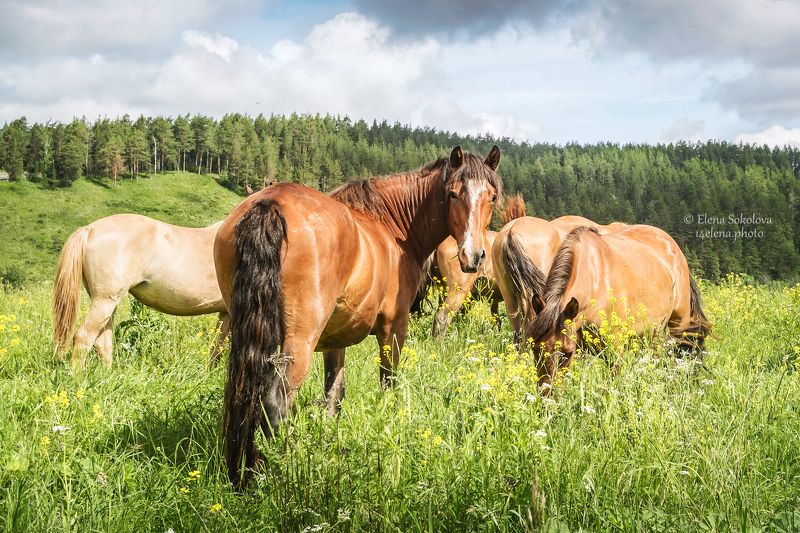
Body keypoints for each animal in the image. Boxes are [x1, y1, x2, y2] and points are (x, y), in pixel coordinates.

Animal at [53, 214, 229, 368]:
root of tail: (89, 229)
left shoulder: (226, 313)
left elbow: (217, 349)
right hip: (104, 301)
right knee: (83, 337)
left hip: (107, 304)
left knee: (102, 343)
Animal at [214, 146, 502, 487]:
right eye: (454, 194)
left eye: (492, 196)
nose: (473, 256)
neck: (392, 228)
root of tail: (269, 203)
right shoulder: (394, 329)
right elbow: (387, 383)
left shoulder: (335, 339)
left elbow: (333, 395)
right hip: (299, 343)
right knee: (275, 403)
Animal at [521, 225, 711, 390]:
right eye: (535, 349)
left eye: (567, 353)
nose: (547, 397)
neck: (595, 280)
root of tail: (674, 248)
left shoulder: (615, 350)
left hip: (679, 324)